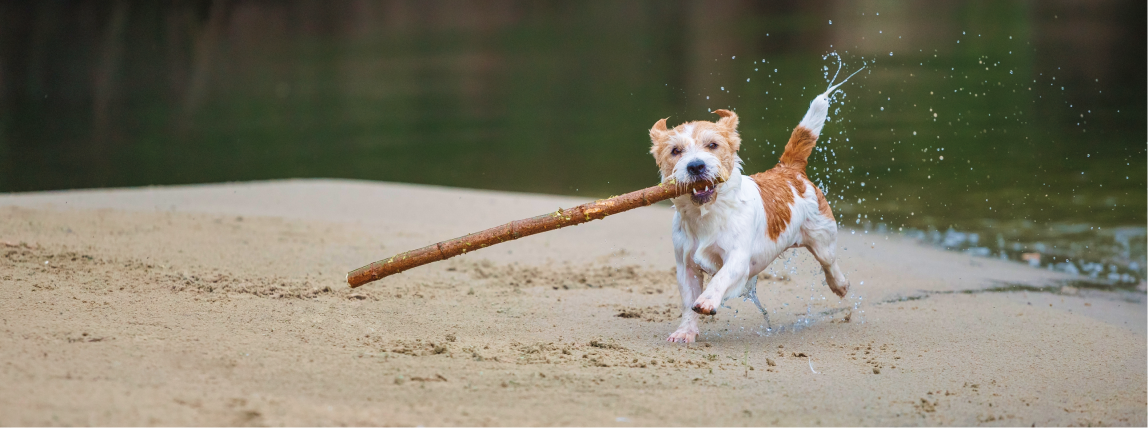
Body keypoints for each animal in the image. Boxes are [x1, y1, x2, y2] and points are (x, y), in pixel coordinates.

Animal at [647, 84, 854, 341]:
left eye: (713, 145)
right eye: (675, 150)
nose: (695, 166)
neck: (708, 213)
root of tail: (789, 169)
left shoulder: (738, 257)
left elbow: (721, 278)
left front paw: (707, 301)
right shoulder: (686, 266)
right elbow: (687, 303)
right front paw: (685, 332)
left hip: (823, 237)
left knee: (829, 262)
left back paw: (840, 285)